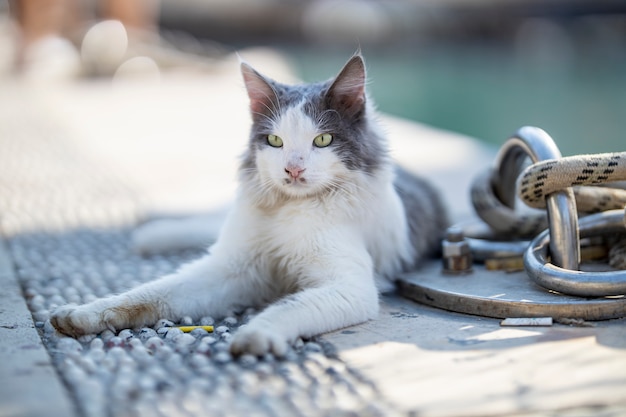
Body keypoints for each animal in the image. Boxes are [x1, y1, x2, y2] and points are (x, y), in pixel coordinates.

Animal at [51, 53, 446, 356]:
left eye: (322, 140)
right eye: (274, 141)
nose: (293, 168)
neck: (288, 210)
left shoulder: (349, 286)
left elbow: (290, 306)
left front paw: (256, 335)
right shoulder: (229, 267)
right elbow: (146, 294)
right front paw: (80, 314)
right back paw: (152, 234)